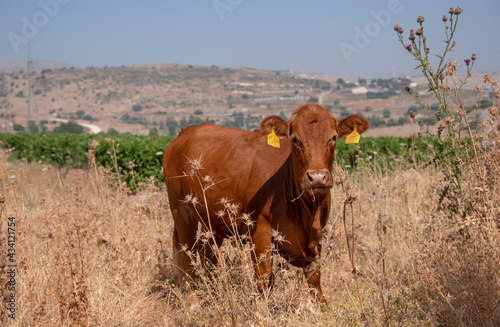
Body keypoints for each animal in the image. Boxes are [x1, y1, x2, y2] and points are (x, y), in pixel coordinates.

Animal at [162, 103, 370, 304]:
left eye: (333, 137)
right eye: (295, 139)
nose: (317, 177)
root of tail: (185, 132)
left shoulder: (316, 235)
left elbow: (314, 277)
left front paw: (323, 309)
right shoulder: (259, 229)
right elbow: (263, 278)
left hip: (212, 220)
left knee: (208, 255)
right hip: (181, 212)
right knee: (186, 255)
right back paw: (193, 302)